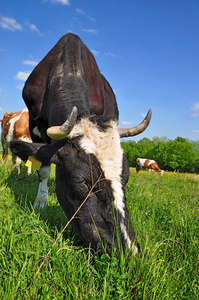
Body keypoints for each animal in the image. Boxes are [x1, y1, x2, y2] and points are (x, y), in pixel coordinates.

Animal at [10, 33, 152, 255]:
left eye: (126, 178)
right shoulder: (36, 125)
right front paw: (41, 202)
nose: (128, 250)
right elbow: (43, 168)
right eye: (82, 182)